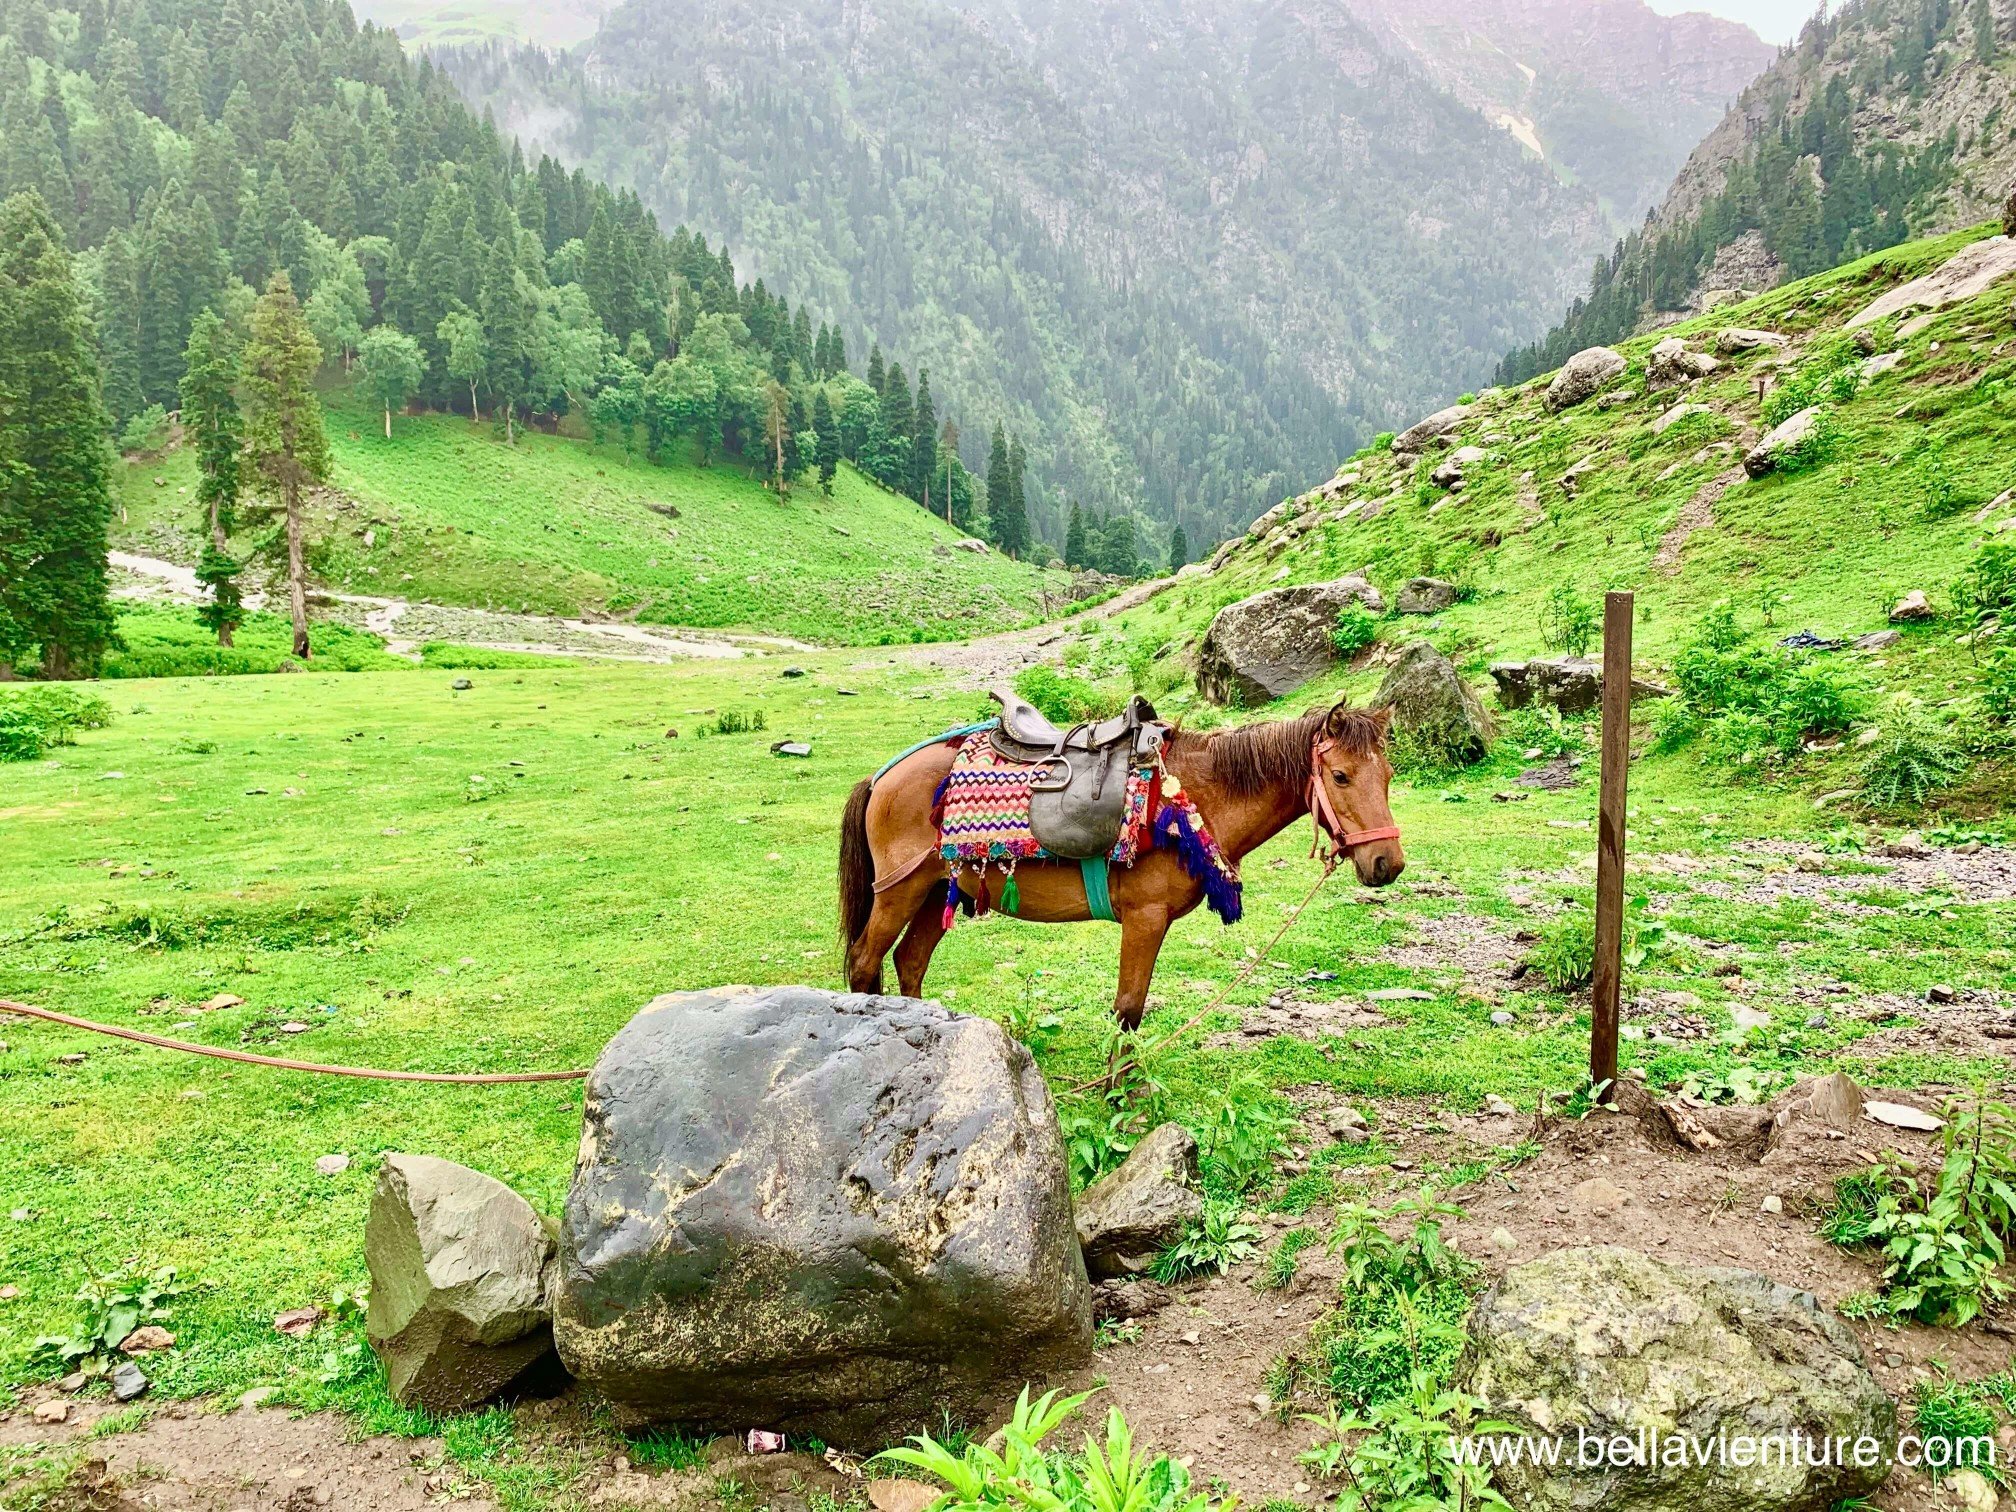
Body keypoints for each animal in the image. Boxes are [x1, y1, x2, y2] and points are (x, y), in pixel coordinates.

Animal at [837, 700, 1405, 1028]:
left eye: (1388, 774)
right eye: (1340, 776)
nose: (1388, 863)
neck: (1195, 795)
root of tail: (883, 775)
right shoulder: (1145, 918)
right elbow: (1128, 1010)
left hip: (939, 889)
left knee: (910, 961)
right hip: (900, 889)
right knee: (865, 961)